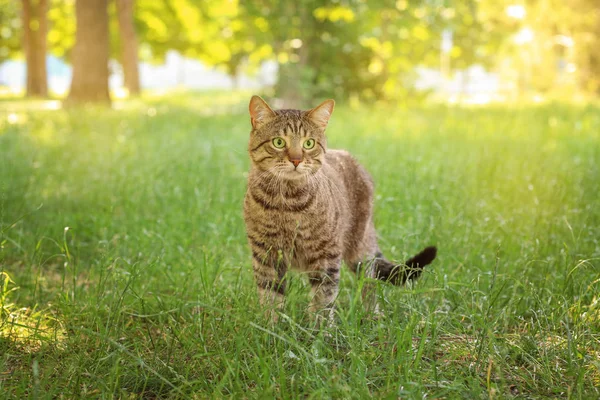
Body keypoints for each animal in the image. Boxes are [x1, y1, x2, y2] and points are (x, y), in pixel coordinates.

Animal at [244, 95, 436, 324]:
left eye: (308, 143)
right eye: (278, 142)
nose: (296, 160)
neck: (287, 203)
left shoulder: (326, 253)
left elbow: (323, 297)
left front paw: (319, 329)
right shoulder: (266, 253)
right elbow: (270, 297)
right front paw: (270, 327)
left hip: (360, 249)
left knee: (369, 282)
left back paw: (372, 315)